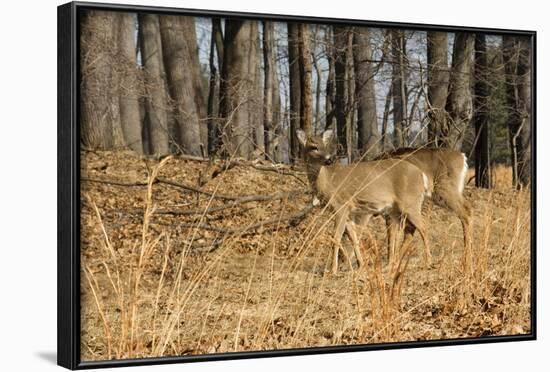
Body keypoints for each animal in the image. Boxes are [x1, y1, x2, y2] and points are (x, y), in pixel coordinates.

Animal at [298, 130, 436, 274]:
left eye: (325, 145)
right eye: (314, 147)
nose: (329, 159)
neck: (327, 182)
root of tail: (422, 174)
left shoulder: (341, 205)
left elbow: (336, 237)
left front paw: (332, 270)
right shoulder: (349, 211)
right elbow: (353, 237)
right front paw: (361, 265)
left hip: (410, 202)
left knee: (423, 227)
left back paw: (428, 263)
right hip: (397, 209)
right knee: (409, 230)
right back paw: (393, 264)